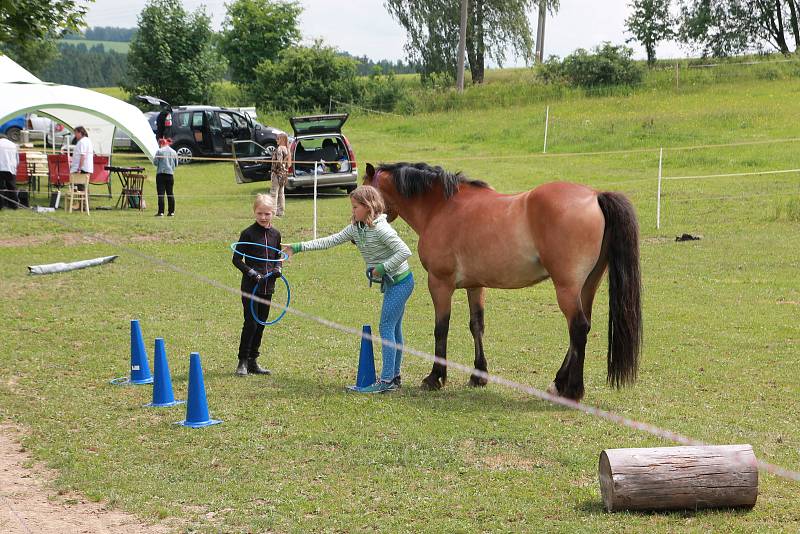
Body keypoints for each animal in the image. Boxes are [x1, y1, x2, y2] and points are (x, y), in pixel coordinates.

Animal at [366, 163, 640, 402]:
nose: (361, 224)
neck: (441, 208)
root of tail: (595, 196)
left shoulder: (440, 284)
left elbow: (441, 329)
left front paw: (435, 377)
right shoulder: (475, 285)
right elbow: (476, 325)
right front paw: (479, 376)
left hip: (567, 288)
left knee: (578, 328)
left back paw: (572, 390)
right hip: (587, 286)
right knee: (581, 329)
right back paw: (558, 383)